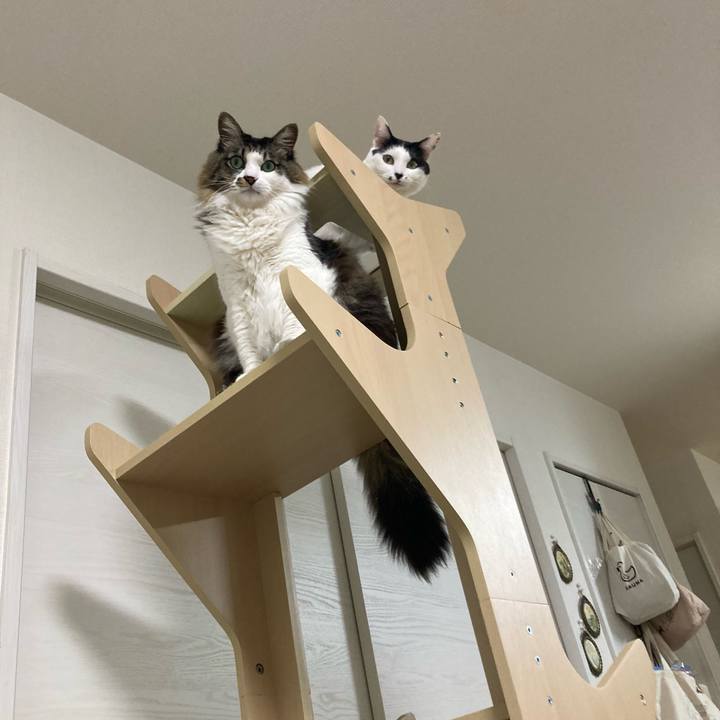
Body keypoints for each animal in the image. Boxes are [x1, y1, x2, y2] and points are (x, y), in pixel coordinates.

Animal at [197, 112, 449, 581]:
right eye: (237, 160)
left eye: (269, 165)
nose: (248, 178)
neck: (250, 228)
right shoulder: (236, 303)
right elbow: (249, 348)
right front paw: (251, 374)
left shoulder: (300, 276)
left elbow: (292, 326)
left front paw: (285, 350)